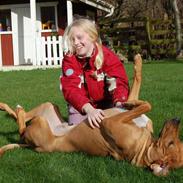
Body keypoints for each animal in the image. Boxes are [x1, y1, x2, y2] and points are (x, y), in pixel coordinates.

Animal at [0, 54, 182, 176]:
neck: (145, 146)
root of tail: (28, 145)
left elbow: (146, 104)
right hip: (48, 107)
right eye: (176, 142)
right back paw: (6, 107)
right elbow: (139, 94)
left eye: (171, 143)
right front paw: (137, 64)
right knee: (23, 117)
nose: (177, 119)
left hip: (40, 124)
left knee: (22, 126)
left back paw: (17, 110)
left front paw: (132, 103)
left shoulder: (110, 122)